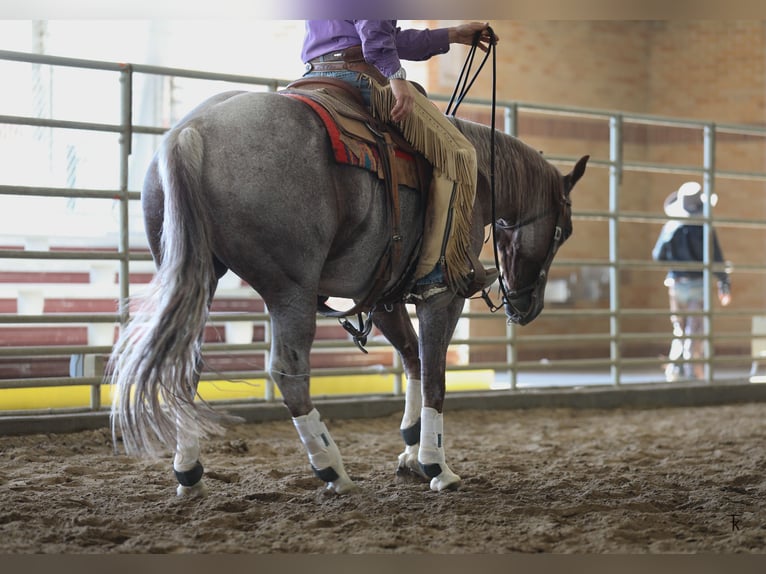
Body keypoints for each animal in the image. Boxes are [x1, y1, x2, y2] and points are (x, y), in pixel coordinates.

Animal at [108, 88, 589, 496]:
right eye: (563, 231)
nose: (527, 306)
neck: (479, 178)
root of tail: (193, 131)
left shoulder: (382, 296)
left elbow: (413, 360)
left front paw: (412, 449)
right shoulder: (442, 296)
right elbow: (435, 374)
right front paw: (437, 465)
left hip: (200, 277)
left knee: (185, 368)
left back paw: (188, 470)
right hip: (290, 290)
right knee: (289, 371)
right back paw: (332, 469)